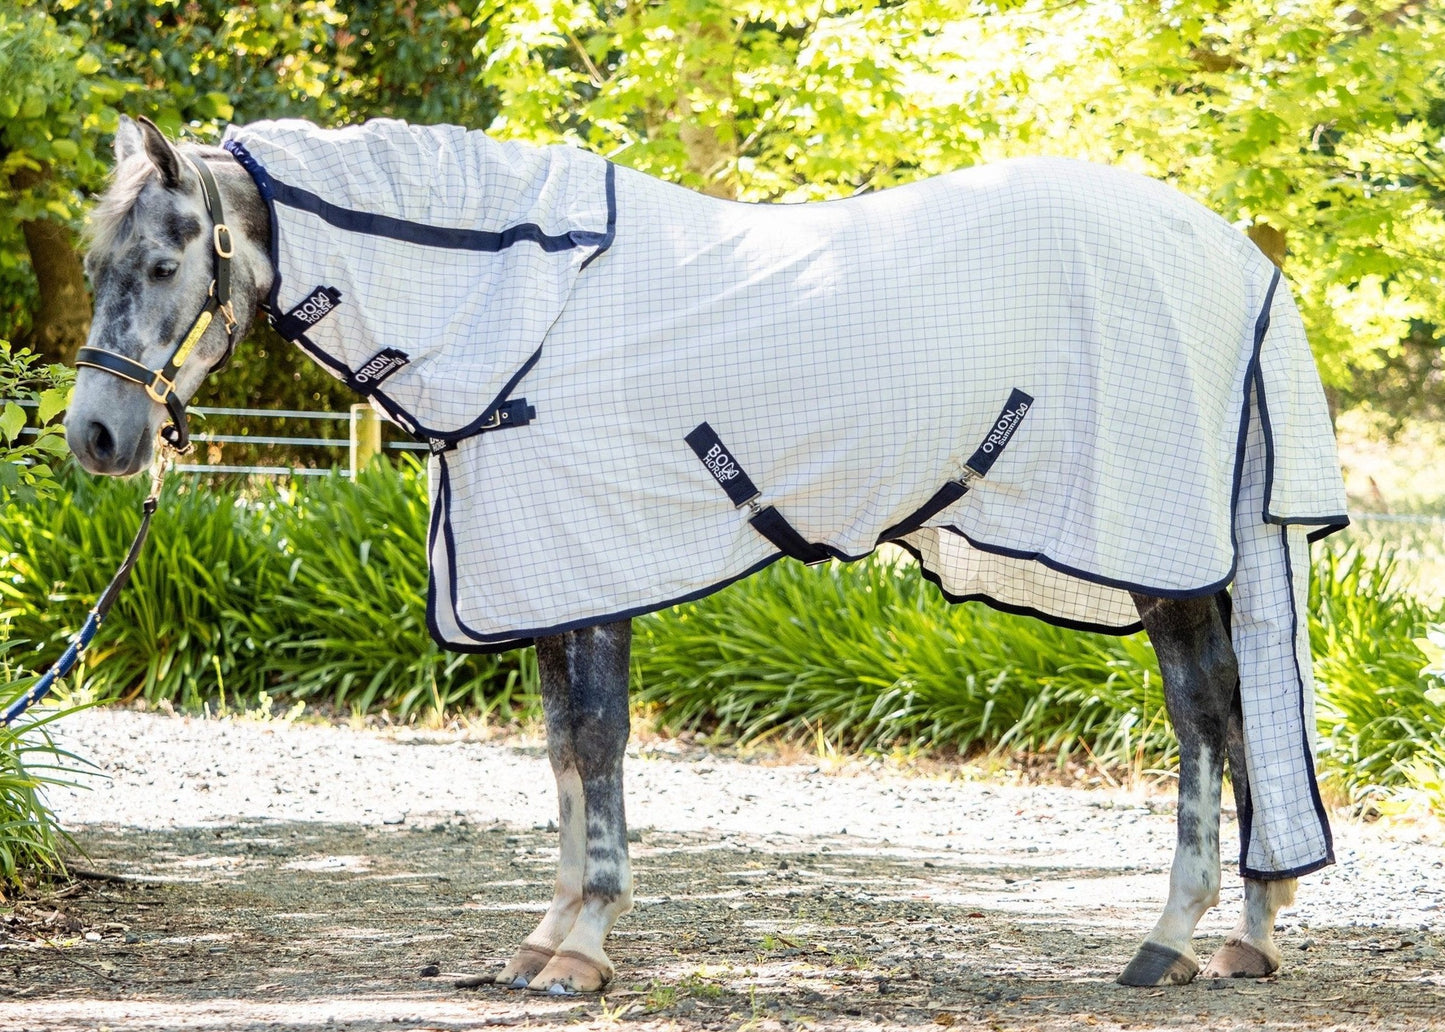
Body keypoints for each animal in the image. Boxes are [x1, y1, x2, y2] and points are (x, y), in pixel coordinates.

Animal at [65, 114, 1348, 994]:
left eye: (167, 267)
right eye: (90, 264)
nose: (97, 435)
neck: (524, 304)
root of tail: (1236, 257)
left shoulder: (591, 569)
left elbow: (595, 744)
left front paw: (582, 950)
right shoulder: (542, 577)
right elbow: (560, 754)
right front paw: (546, 936)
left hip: (1158, 555)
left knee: (1204, 714)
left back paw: (1169, 938)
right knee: (1238, 710)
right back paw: (1243, 938)